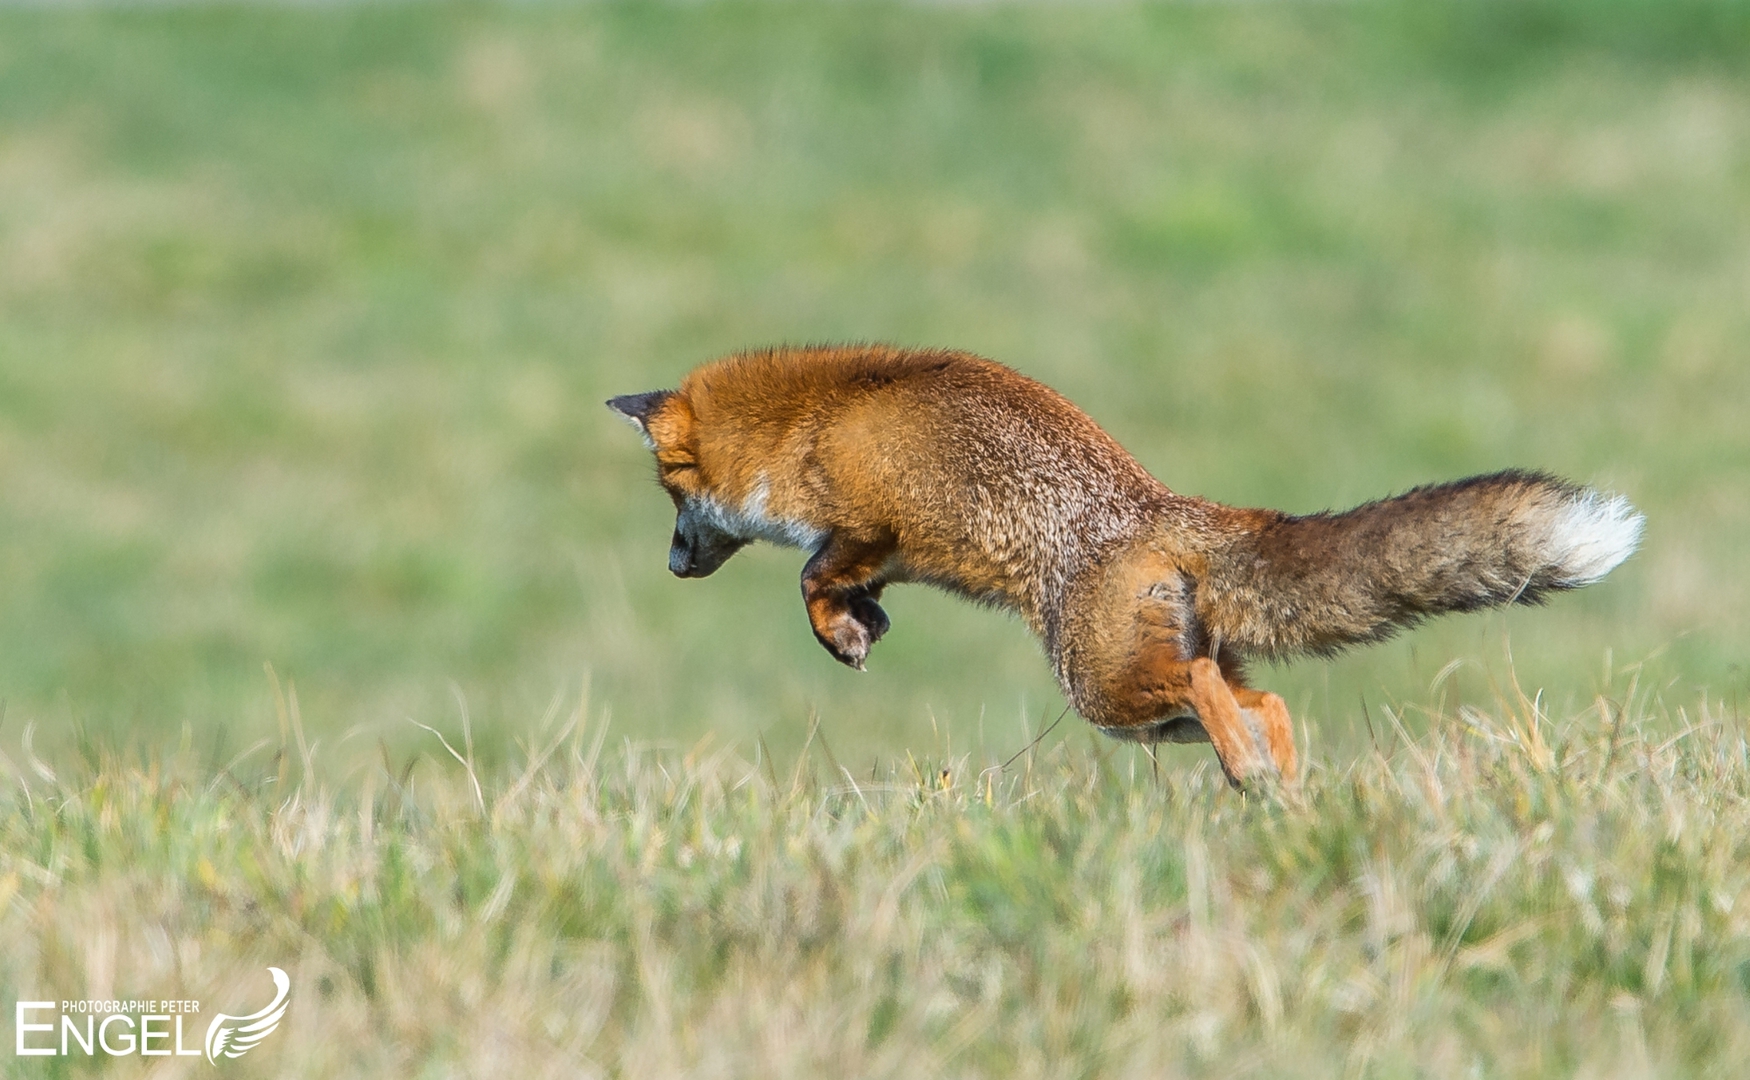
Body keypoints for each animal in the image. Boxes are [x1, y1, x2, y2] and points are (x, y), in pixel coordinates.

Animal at [608, 344, 1642, 789]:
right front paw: (862, 628)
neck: (803, 425)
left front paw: (841, 632)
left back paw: (1252, 771)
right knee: (1262, 696)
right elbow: (839, 588)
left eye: (670, 494)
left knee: (1211, 688)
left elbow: (810, 579)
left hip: (1099, 687)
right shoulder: (877, 550)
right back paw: (1278, 785)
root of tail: (1162, 504)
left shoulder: (868, 525)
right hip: (1147, 694)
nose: (672, 566)